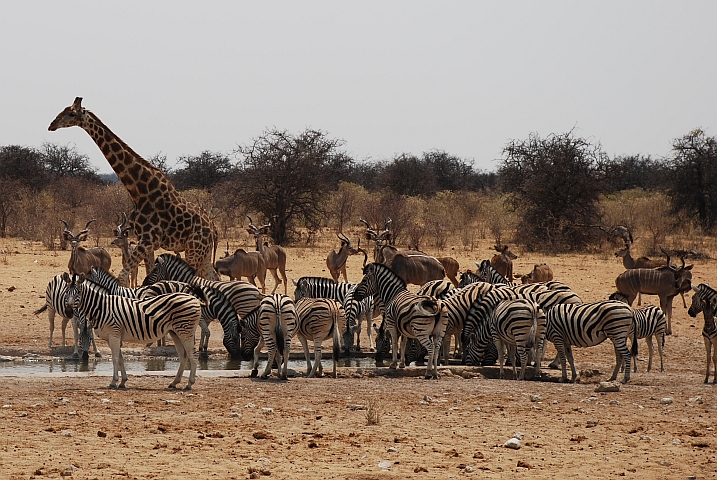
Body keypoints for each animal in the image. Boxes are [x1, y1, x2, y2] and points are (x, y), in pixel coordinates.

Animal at [49, 97, 219, 285]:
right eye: (62, 110)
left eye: (71, 113)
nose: (52, 125)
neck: (139, 191)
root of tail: (213, 228)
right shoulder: (145, 241)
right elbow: (147, 274)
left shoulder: (148, 240)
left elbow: (123, 276)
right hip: (203, 252)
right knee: (214, 277)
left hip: (195, 249)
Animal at [62, 273, 207, 390]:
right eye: (66, 292)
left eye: (78, 292)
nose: (68, 311)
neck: (102, 307)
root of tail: (195, 299)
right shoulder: (113, 337)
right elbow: (120, 359)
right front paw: (123, 381)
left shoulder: (114, 334)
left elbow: (115, 358)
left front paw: (113, 382)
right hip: (175, 332)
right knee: (183, 356)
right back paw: (174, 383)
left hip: (185, 331)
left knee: (193, 356)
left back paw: (189, 384)